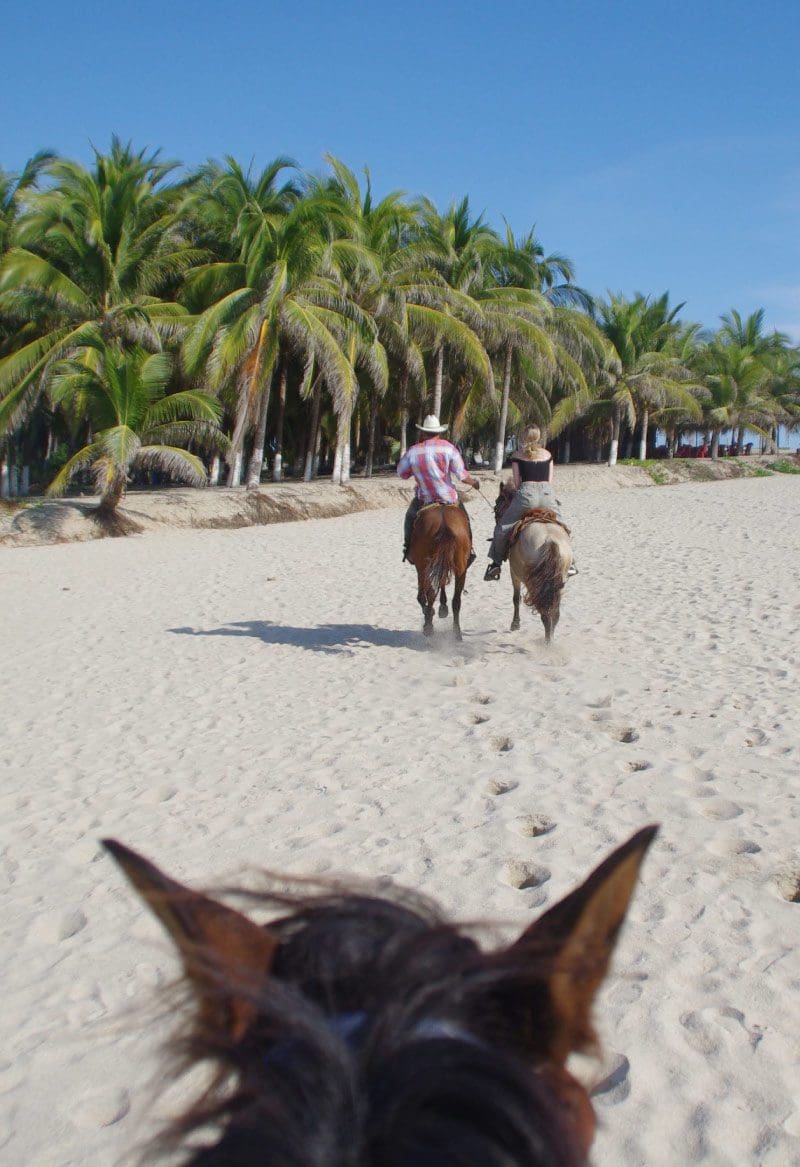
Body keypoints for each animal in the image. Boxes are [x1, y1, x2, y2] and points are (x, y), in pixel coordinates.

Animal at [408, 502, 472, 640]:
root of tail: (444, 524)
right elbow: (441, 582)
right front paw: (442, 607)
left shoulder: (422, 567)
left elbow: (423, 595)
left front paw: (432, 612)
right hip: (460, 567)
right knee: (456, 600)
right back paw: (457, 633)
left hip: (424, 566)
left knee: (428, 595)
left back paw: (428, 626)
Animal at [496, 482, 573, 644]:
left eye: (497, 505)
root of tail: (549, 539)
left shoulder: (514, 573)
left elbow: (516, 598)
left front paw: (515, 624)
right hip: (559, 580)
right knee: (555, 611)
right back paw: (550, 640)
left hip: (533, 582)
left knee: (545, 611)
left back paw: (547, 642)